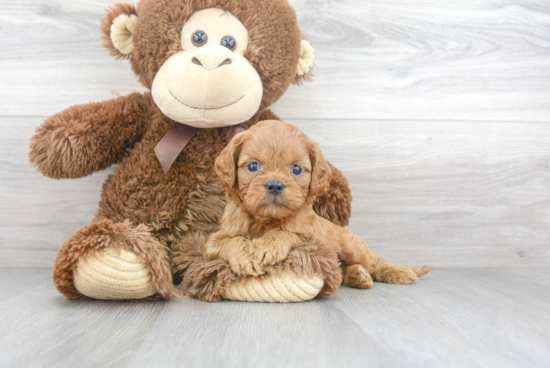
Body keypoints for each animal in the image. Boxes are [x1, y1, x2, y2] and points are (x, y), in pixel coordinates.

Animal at [205, 121, 434, 288]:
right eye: (253, 166)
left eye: (296, 169)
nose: (275, 186)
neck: (266, 220)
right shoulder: (212, 242)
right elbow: (229, 241)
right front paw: (244, 256)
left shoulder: (311, 236)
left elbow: (287, 232)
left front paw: (266, 246)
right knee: (342, 270)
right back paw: (358, 276)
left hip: (353, 247)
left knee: (375, 262)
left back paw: (399, 272)